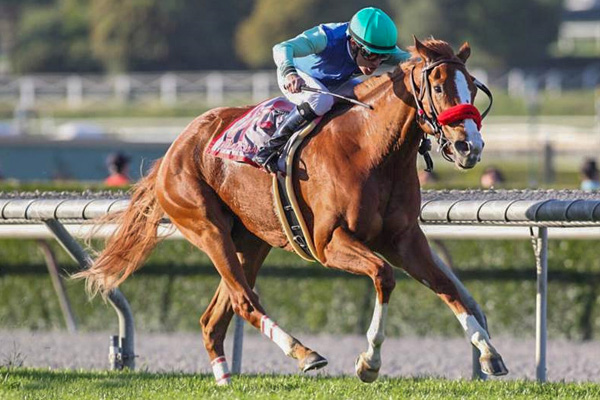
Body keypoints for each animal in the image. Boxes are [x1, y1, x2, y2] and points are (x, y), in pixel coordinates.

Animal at [76, 38, 506, 384]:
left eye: (473, 87)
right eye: (438, 86)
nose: (470, 147)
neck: (371, 151)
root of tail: (173, 150)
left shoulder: (405, 239)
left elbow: (449, 287)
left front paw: (489, 353)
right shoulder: (329, 242)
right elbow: (383, 276)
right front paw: (369, 362)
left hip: (251, 241)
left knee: (216, 317)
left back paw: (225, 377)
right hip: (207, 228)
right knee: (244, 300)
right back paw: (304, 353)